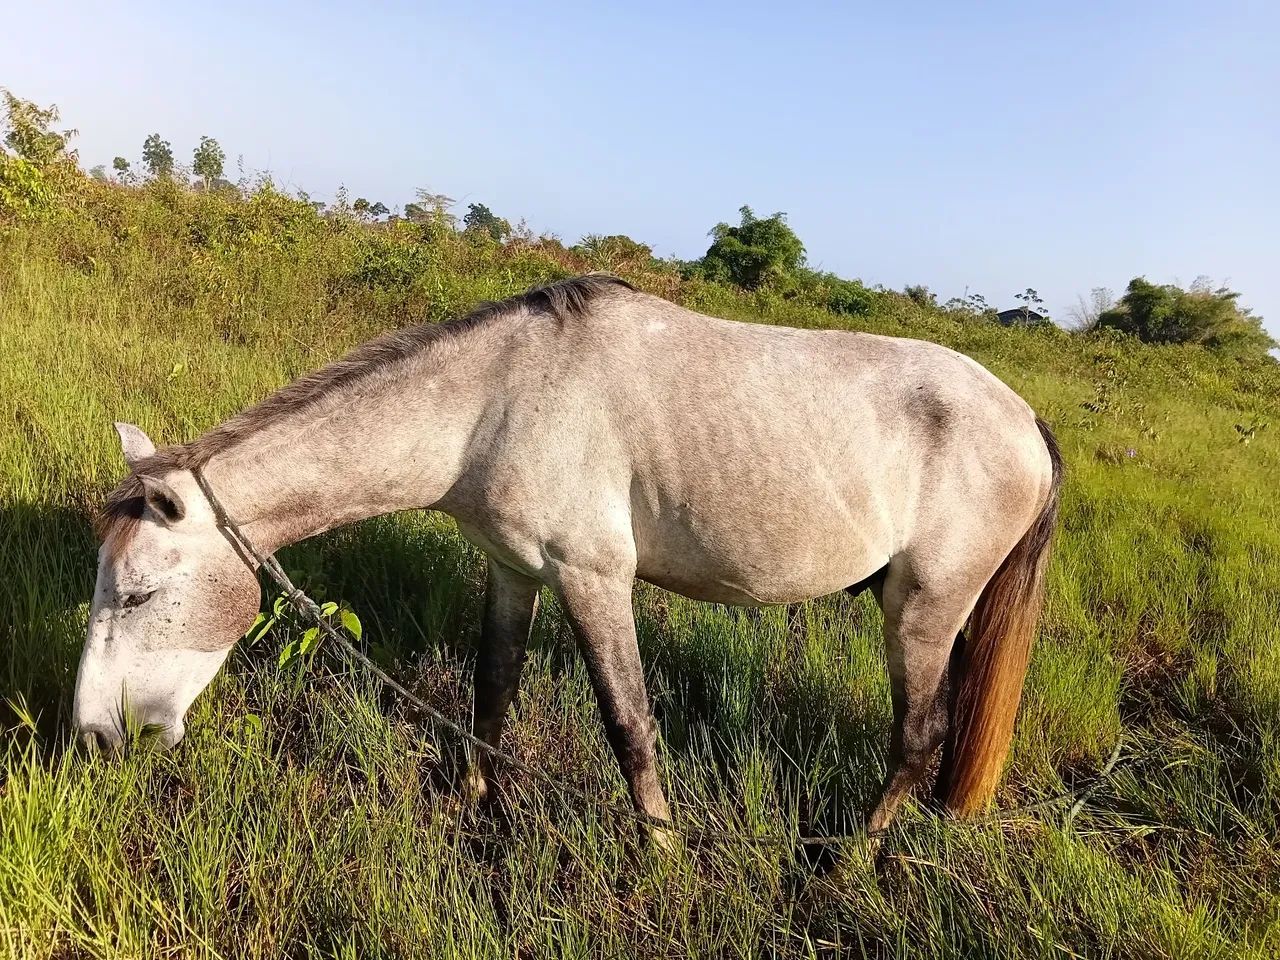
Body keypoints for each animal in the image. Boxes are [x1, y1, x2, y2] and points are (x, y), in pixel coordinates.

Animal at [75, 274, 1062, 838]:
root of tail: (1025, 420)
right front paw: (475, 798)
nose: (94, 735)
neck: (496, 400)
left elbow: (630, 727)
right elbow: (492, 686)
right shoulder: (515, 571)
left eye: (137, 594)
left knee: (918, 741)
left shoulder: (595, 581)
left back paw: (850, 861)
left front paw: (659, 851)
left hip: (921, 613)